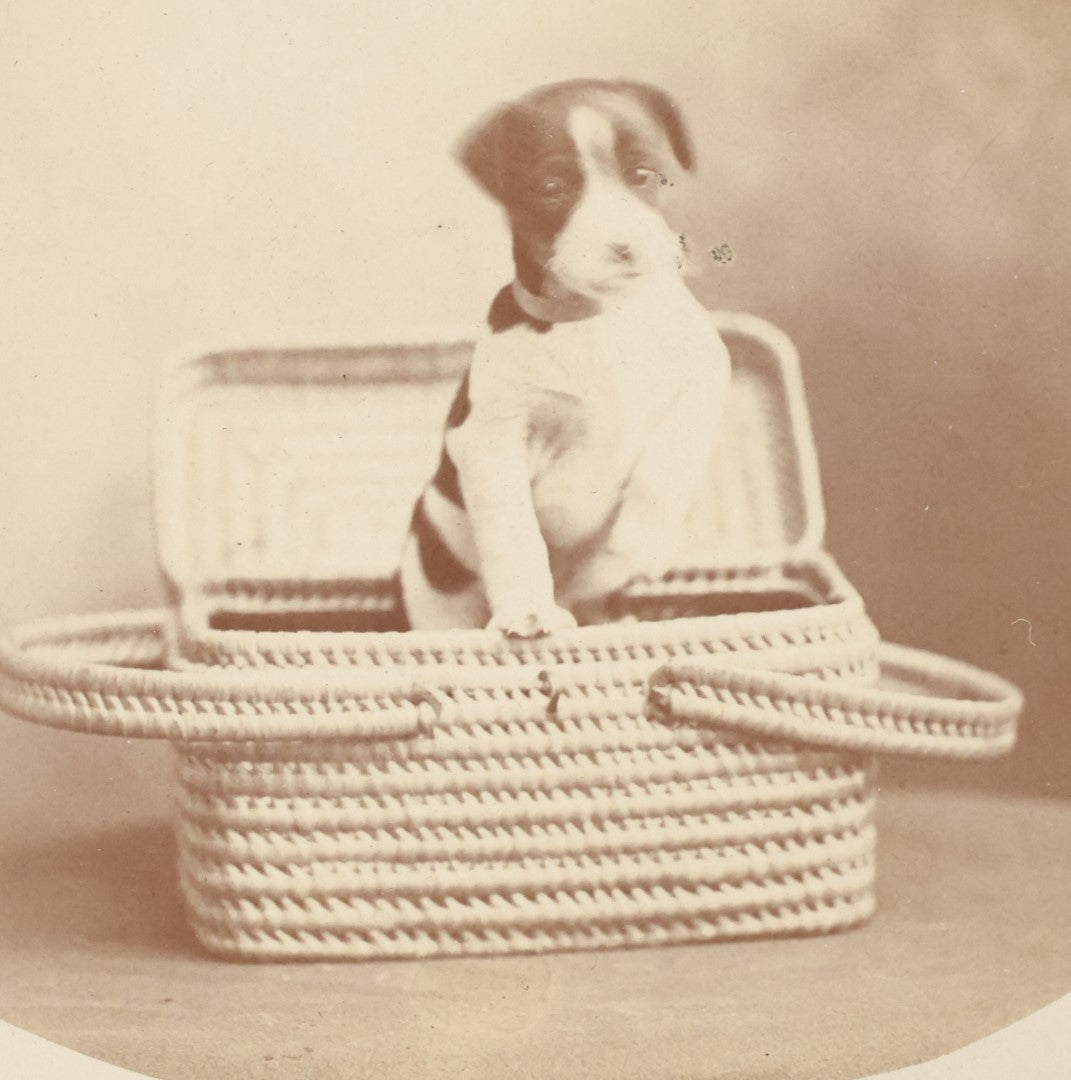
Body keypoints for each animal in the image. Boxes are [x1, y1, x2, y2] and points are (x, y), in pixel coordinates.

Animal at [397, 79, 734, 635]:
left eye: (643, 175)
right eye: (551, 187)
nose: (624, 246)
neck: (597, 317)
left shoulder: (704, 374)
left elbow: (666, 469)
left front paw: (627, 552)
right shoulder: (492, 438)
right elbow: (515, 535)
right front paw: (529, 609)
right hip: (432, 564)